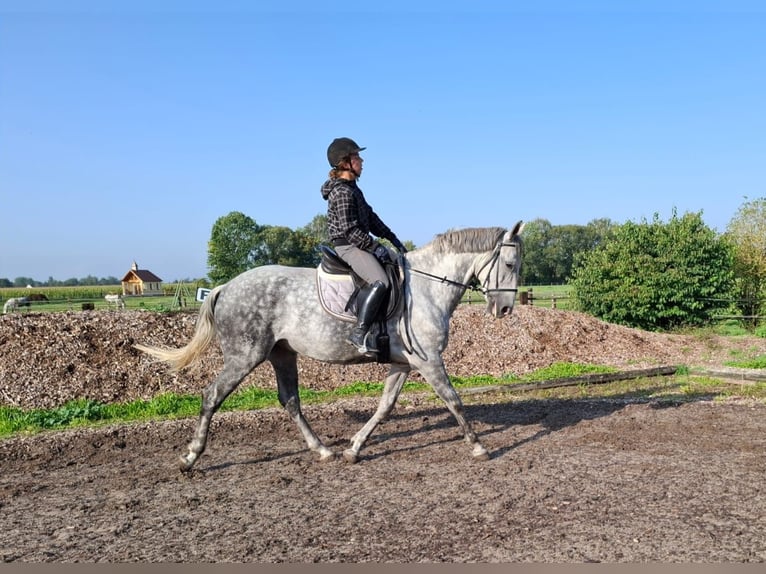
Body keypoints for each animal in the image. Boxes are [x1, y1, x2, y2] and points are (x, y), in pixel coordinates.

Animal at [135, 222, 524, 472]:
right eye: (509, 263)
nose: (505, 309)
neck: (427, 288)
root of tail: (225, 287)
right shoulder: (429, 361)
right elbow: (454, 401)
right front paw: (479, 446)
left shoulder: (404, 362)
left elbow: (385, 406)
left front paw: (354, 448)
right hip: (245, 355)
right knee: (212, 396)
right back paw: (190, 458)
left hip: (281, 354)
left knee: (290, 401)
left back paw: (322, 450)